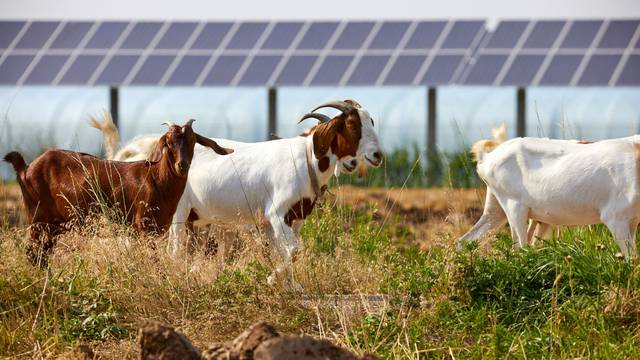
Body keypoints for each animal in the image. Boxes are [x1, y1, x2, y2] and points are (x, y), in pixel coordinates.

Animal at [3, 119, 232, 264]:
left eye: (193, 141)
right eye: (168, 142)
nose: (182, 165)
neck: (155, 179)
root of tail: (26, 168)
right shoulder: (143, 228)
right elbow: (153, 262)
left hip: (54, 225)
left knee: (42, 254)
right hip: (37, 219)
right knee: (33, 253)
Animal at [460, 128, 640, 258]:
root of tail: (486, 158)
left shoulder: (633, 220)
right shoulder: (615, 218)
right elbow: (630, 259)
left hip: (496, 211)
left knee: (465, 240)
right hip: (514, 207)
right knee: (520, 247)